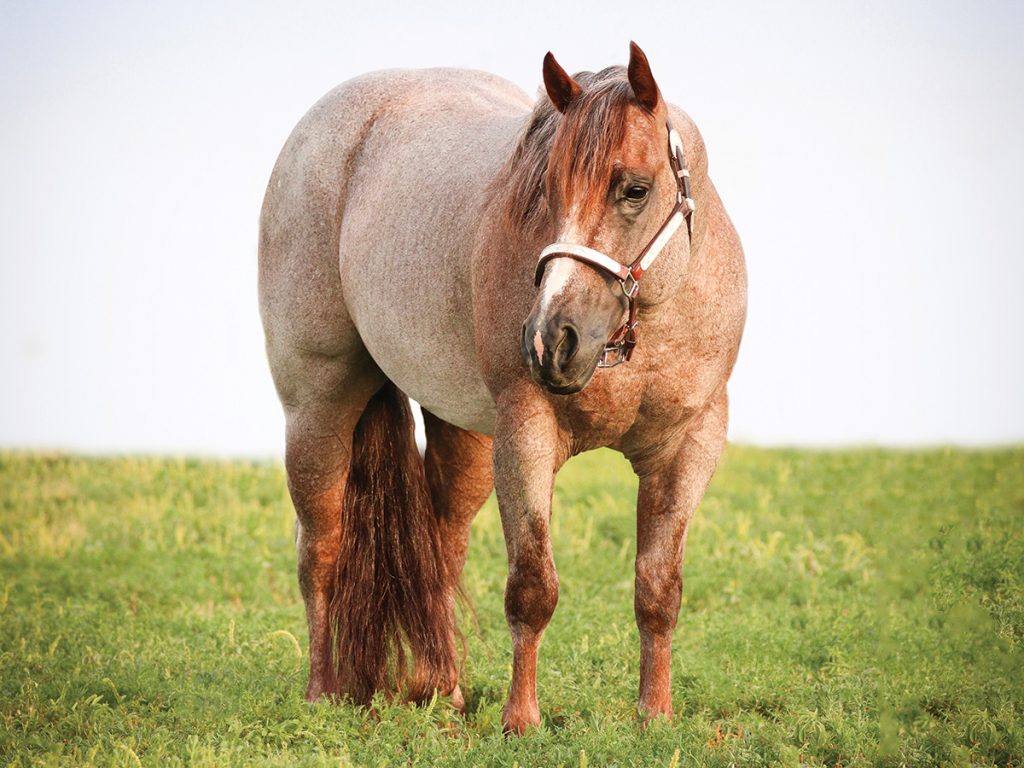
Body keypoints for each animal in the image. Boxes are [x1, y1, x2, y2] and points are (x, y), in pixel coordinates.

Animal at [258, 42, 746, 734]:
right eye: (546, 188)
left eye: (635, 189)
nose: (551, 339)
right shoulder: (526, 435)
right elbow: (532, 587)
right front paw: (522, 721)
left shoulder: (688, 446)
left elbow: (658, 589)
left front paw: (655, 716)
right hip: (317, 408)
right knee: (320, 547)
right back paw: (323, 693)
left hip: (462, 432)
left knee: (441, 545)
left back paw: (444, 690)